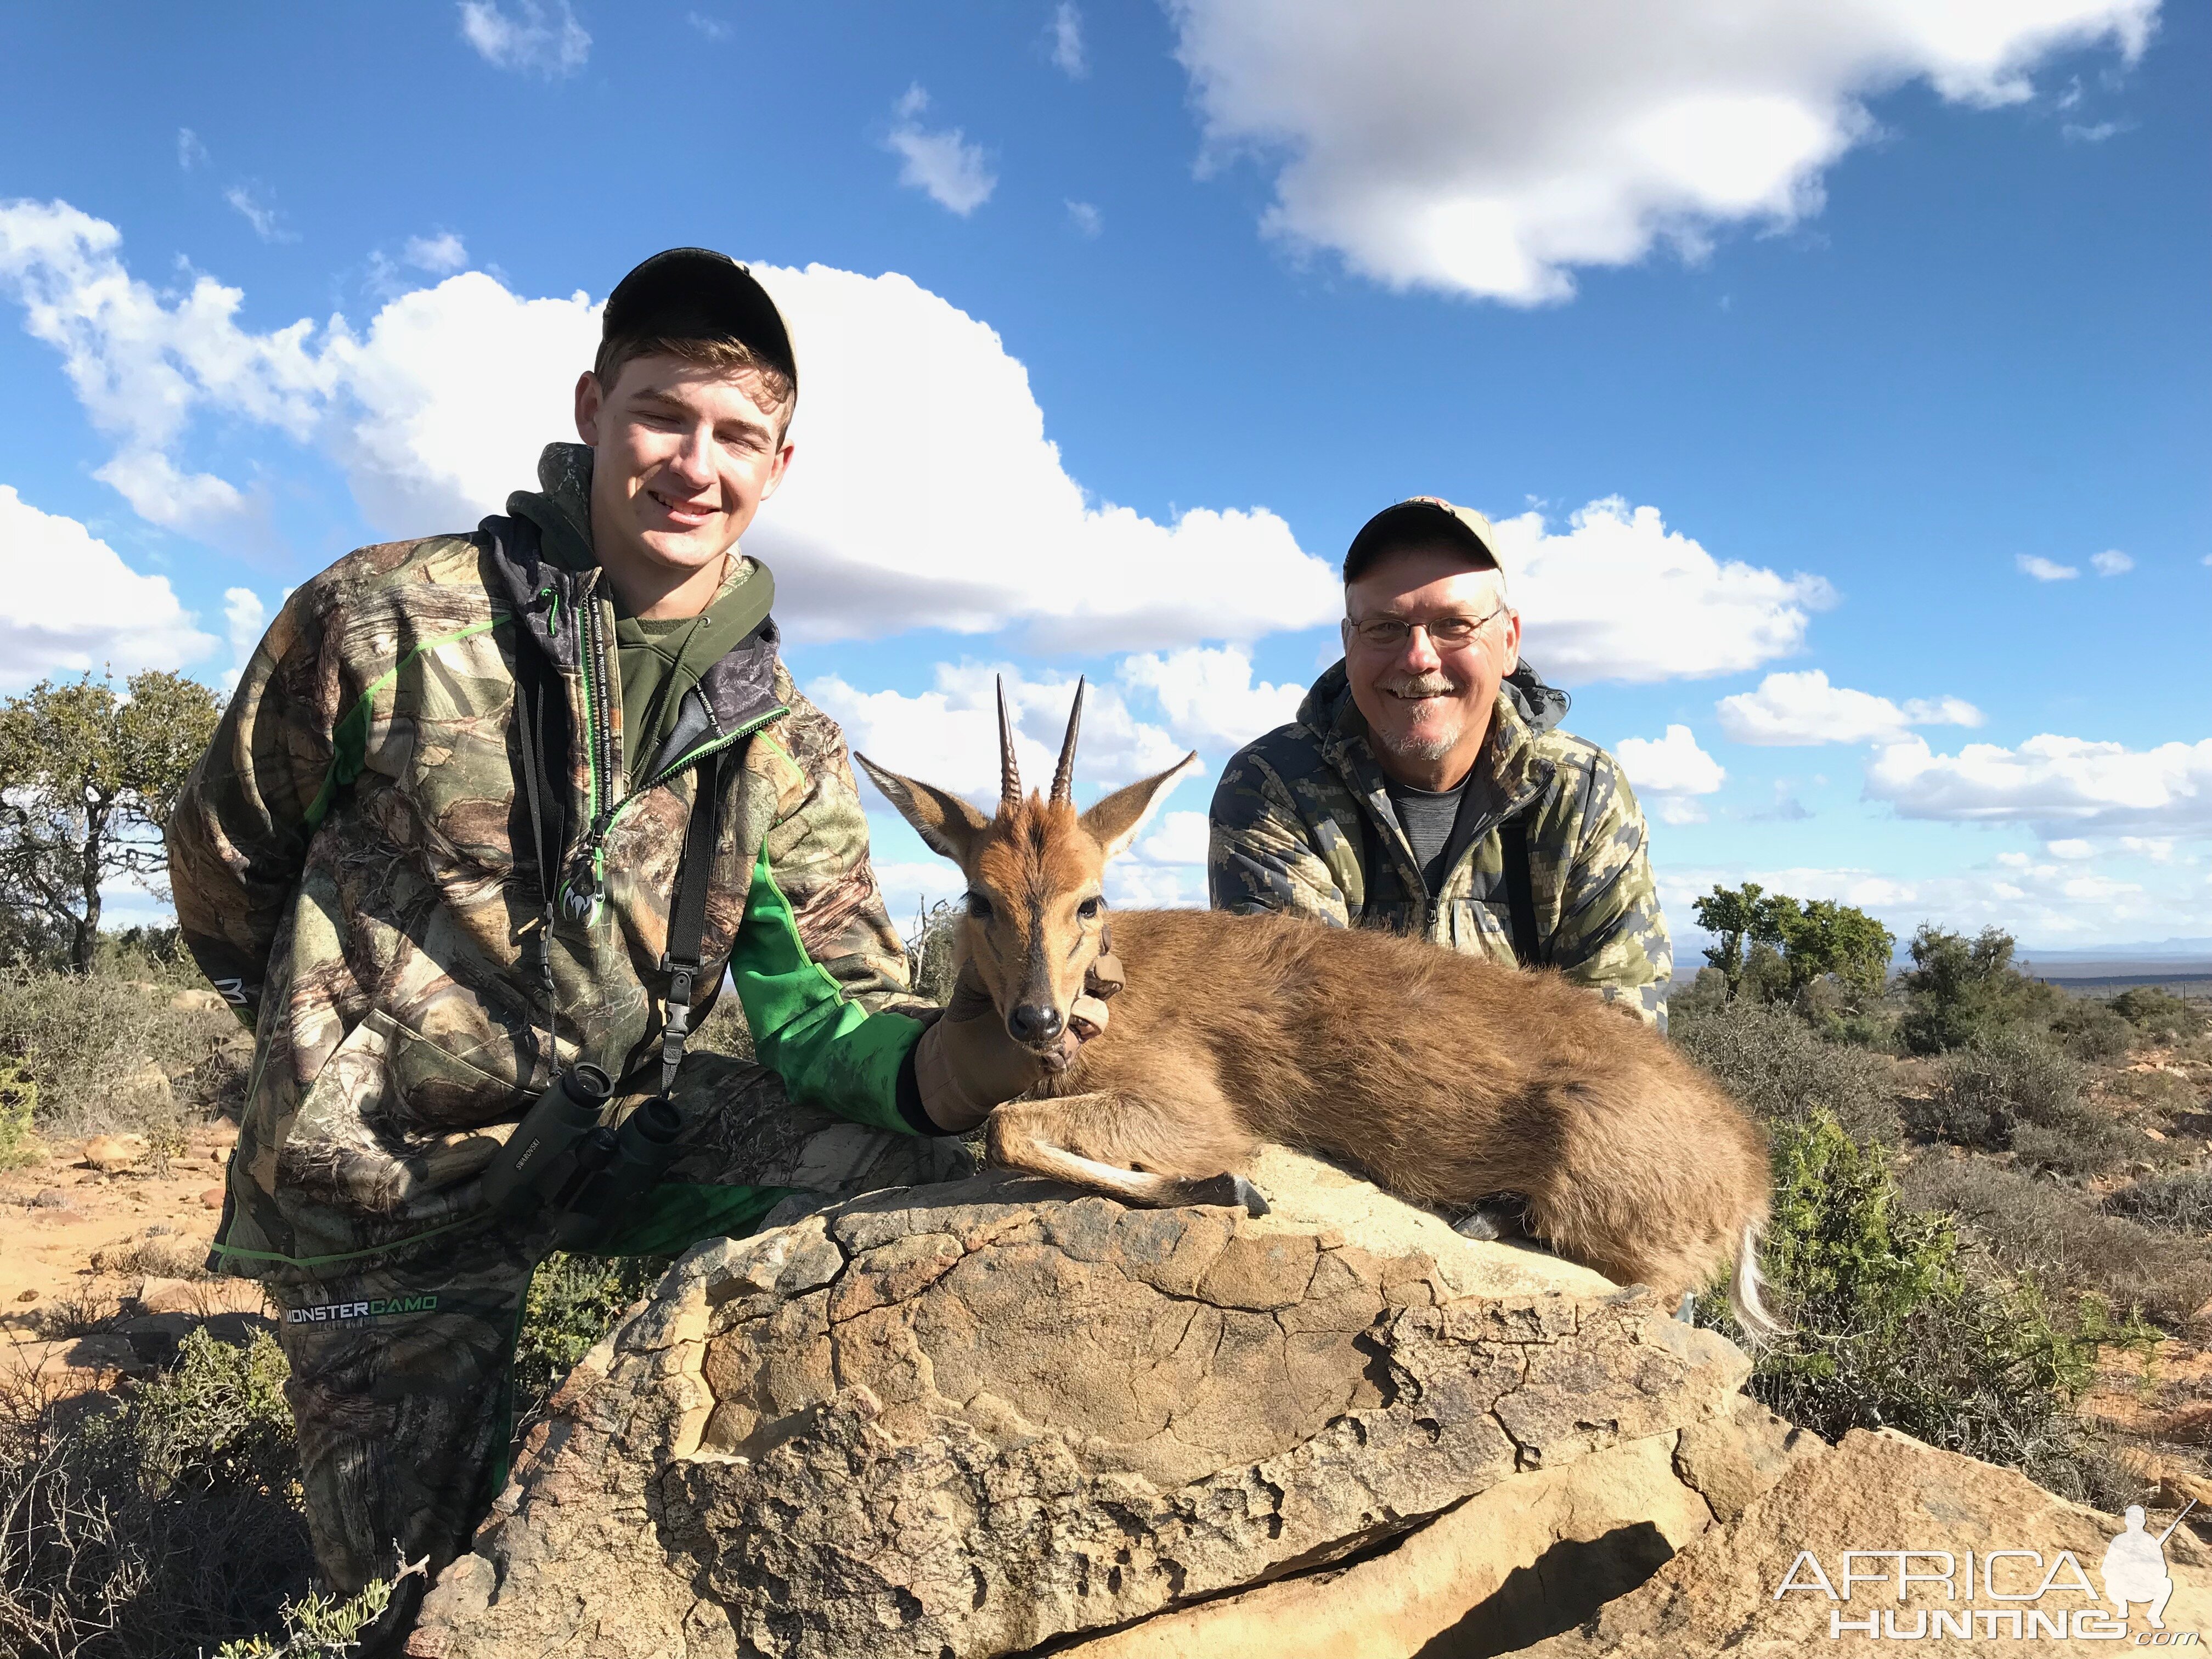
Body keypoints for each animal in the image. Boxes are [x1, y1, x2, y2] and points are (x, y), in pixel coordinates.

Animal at [858, 676, 1778, 1336]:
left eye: (1090, 900)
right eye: (978, 897)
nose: (1038, 1022)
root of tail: (1750, 1177)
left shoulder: (1196, 1108)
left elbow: (1007, 1128)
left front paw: (1228, 1186)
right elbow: (1004, 1124)